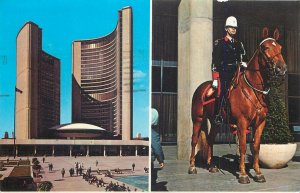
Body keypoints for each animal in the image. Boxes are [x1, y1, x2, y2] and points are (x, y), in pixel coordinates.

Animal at [189, 27, 288, 184]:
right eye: (266, 48)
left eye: (280, 47)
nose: (281, 68)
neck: (253, 90)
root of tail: (201, 88)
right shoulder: (242, 123)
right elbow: (242, 147)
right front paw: (243, 175)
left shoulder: (260, 123)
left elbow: (256, 147)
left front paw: (258, 173)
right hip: (197, 119)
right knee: (194, 140)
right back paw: (192, 167)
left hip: (216, 123)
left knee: (210, 140)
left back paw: (211, 166)